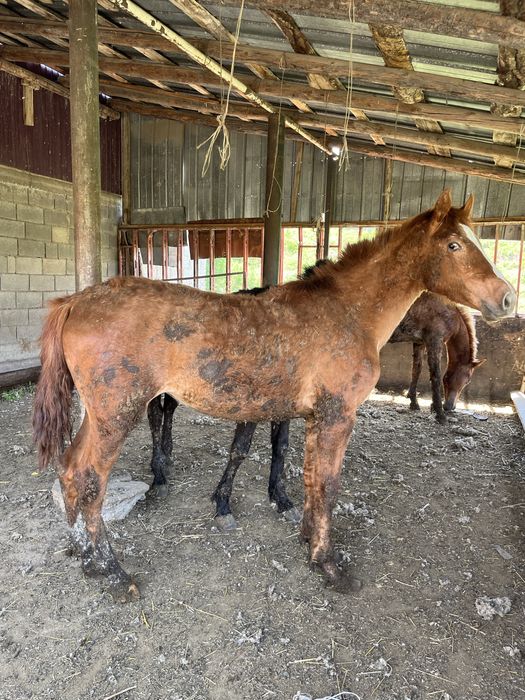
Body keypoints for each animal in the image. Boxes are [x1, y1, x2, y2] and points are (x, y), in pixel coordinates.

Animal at [148, 292, 483, 531]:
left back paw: (165, 461)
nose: (452, 406)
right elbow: (240, 450)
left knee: (165, 411)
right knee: (155, 415)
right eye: (464, 379)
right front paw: (222, 505)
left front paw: (281, 499)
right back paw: (159, 475)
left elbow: (280, 448)